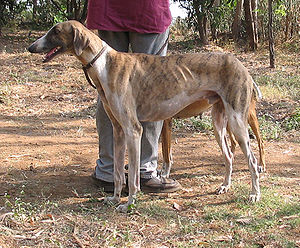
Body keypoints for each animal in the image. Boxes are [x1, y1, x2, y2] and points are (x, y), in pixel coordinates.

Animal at [28, 20, 262, 212]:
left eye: (55, 31)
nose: (30, 47)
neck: (103, 64)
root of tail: (242, 66)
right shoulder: (118, 130)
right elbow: (117, 172)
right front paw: (115, 198)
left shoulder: (133, 130)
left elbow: (132, 175)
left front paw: (129, 203)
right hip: (219, 123)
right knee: (229, 156)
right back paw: (225, 186)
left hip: (238, 123)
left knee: (252, 160)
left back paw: (254, 194)